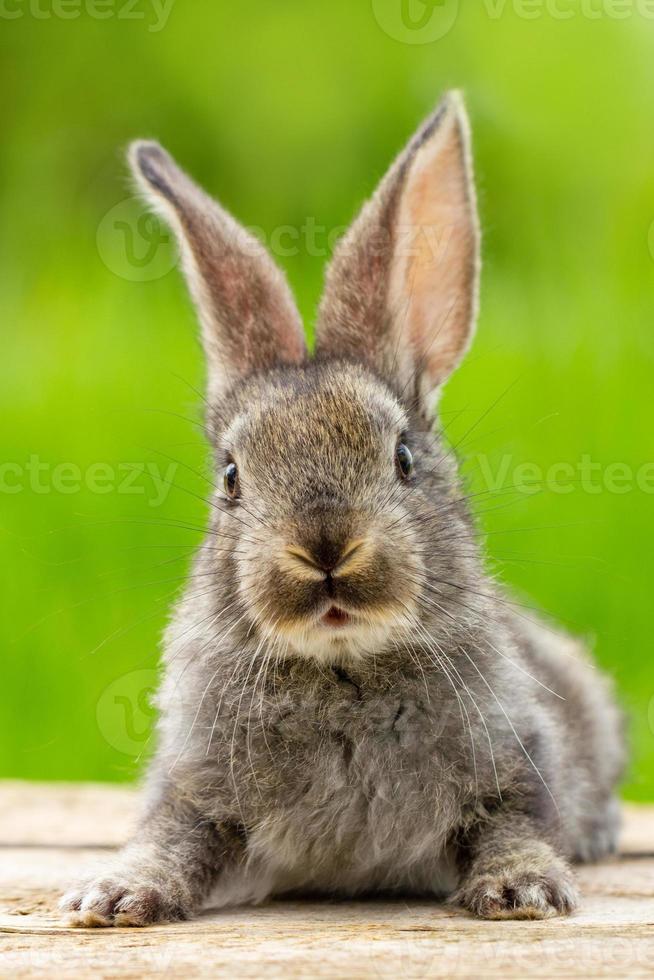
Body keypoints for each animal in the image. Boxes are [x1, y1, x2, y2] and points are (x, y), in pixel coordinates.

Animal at [60, 92, 624, 928]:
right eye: (232, 477)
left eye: (404, 459)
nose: (325, 546)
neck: (342, 664)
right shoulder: (196, 783)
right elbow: (172, 835)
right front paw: (115, 895)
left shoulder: (517, 760)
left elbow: (515, 823)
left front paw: (523, 890)